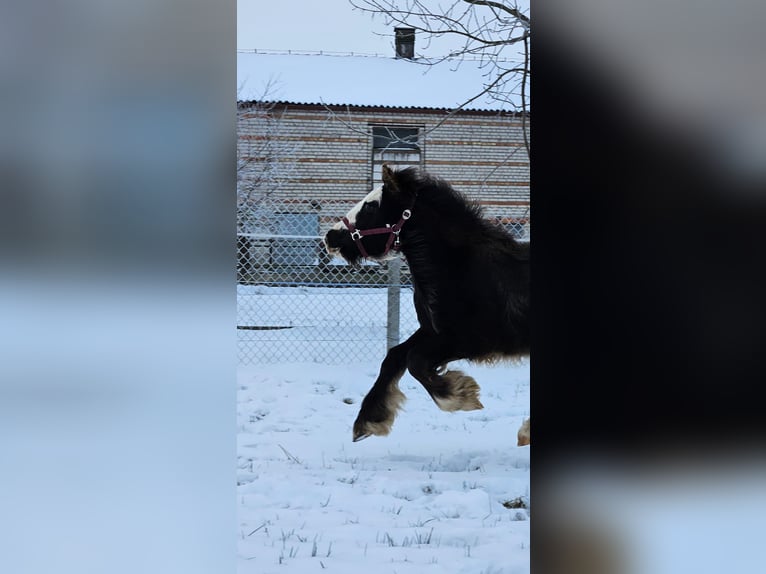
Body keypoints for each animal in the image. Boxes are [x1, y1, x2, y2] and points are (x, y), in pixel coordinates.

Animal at [322, 164, 528, 444]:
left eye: (371, 207)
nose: (330, 237)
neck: (459, 269)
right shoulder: (432, 332)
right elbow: (395, 357)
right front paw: (369, 421)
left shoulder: (468, 341)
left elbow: (415, 361)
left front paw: (461, 396)